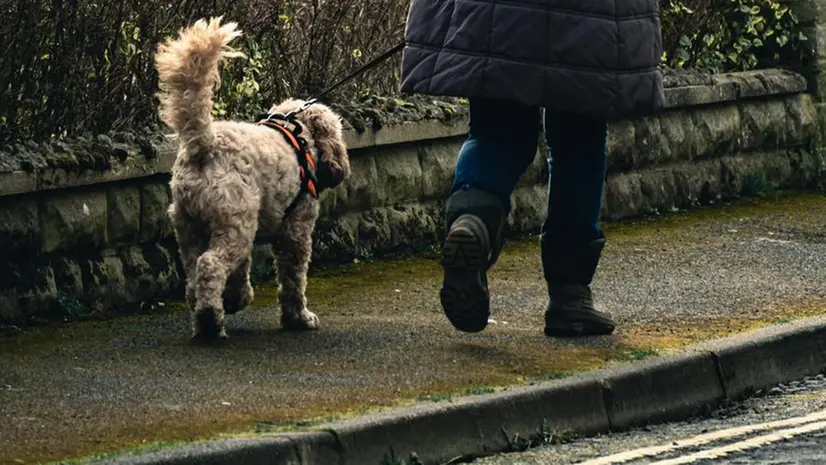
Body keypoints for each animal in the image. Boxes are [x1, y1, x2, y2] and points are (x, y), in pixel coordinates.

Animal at [154, 17, 348, 340]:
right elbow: (293, 279)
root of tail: (204, 145)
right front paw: (299, 317)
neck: (296, 133)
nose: (340, 169)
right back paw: (210, 321)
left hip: (193, 226)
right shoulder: (296, 231)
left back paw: (206, 314)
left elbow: (242, 271)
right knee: (210, 265)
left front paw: (238, 298)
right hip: (234, 224)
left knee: (195, 275)